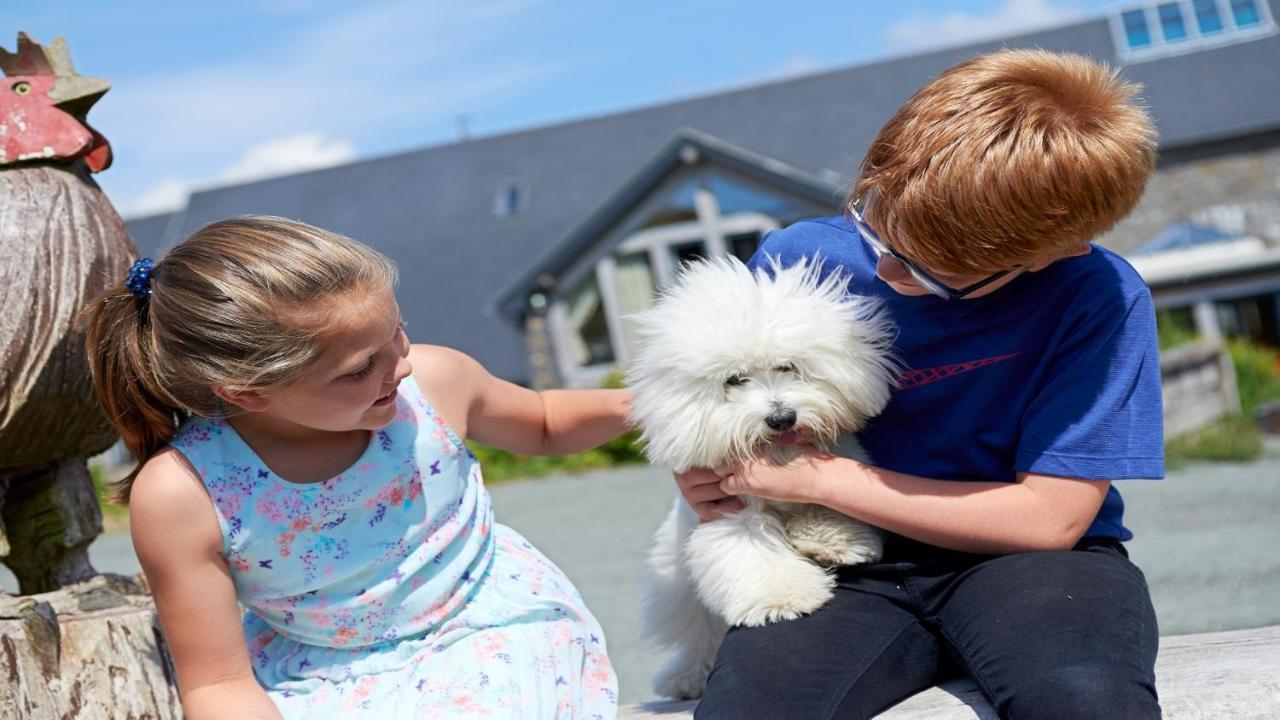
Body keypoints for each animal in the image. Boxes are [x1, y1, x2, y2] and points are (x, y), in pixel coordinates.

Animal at [624, 256, 896, 696]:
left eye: (787, 366)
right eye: (734, 380)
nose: (782, 417)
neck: (778, 455)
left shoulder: (840, 464)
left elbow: (828, 505)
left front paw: (834, 544)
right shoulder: (732, 515)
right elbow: (757, 556)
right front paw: (785, 599)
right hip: (679, 582)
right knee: (699, 637)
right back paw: (685, 678)